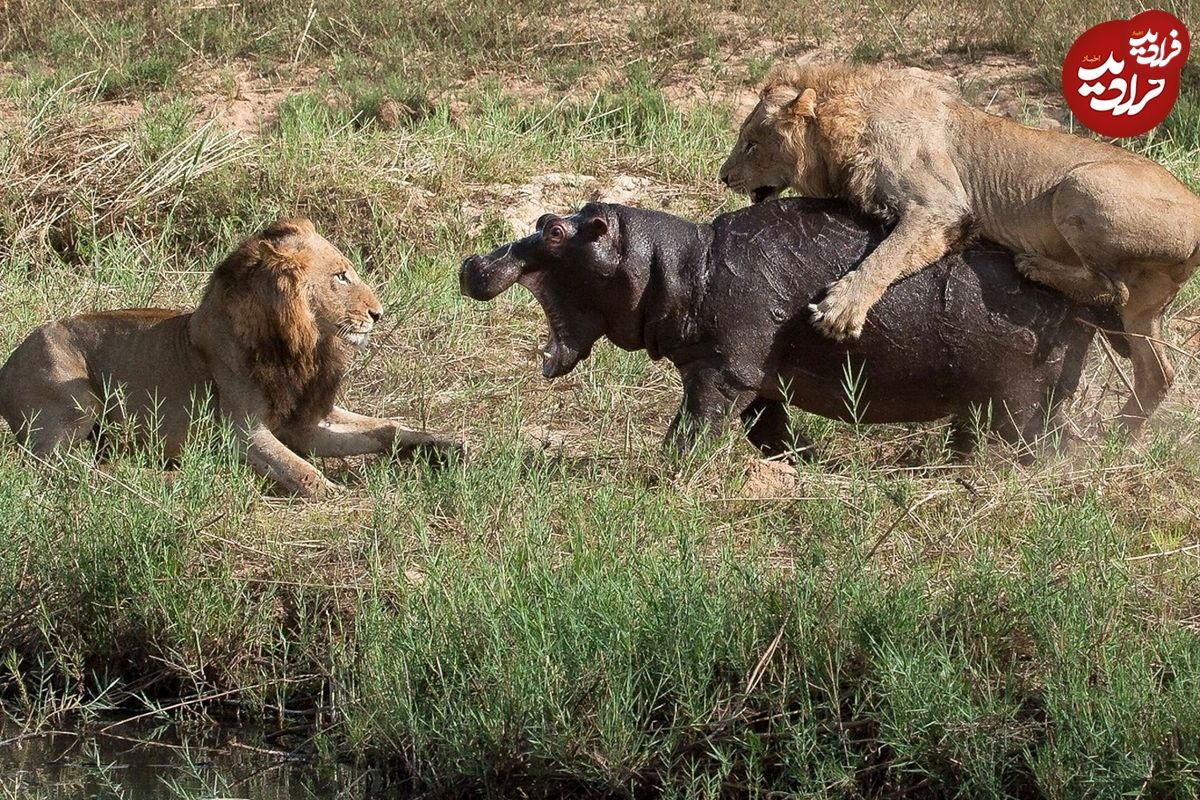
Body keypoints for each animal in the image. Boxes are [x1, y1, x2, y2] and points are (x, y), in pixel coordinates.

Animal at [0, 217, 456, 494]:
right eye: (341, 276)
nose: (378, 313)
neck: (304, 347)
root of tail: (7, 363)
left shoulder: (303, 422)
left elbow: (381, 428)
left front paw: (439, 444)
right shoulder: (240, 430)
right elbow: (303, 472)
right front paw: (341, 497)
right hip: (74, 395)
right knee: (55, 468)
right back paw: (157, 476)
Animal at [458, 199, 1113, 460]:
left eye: (556, 232)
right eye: (547, 216)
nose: (473, 263)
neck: (680, 266)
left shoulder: (721, 372)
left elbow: (692, 428)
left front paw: (662, 473)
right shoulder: (752, 380)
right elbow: (770, 433)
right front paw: (806, 465)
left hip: (1018, 398)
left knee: (1036, 445)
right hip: (994, 398)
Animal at [720, 61, 1200, 438]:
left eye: (751, 143)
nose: (724, 178)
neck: (844, 116)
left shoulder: (941, 206)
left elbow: (887, 255)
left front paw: (841, 309)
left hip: (1078, 185)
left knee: (1109, 286)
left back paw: (1034, 265)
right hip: (1145, 307)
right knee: (1158, 372)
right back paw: (1120, 438)